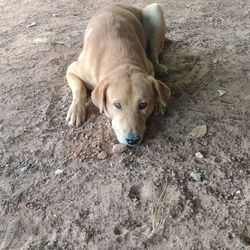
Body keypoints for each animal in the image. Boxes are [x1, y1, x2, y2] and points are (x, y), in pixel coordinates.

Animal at [65, 2, 171, 146]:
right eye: (117, 105)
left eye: (143, 105)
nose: (132, 140)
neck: (121, 59)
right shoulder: (72, 69)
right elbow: (79, 88)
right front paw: (76, 109)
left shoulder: (148, 69)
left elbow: (154, 80)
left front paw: (158, 101)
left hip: (155, 10)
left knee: (154, 54)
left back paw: (159, 67)